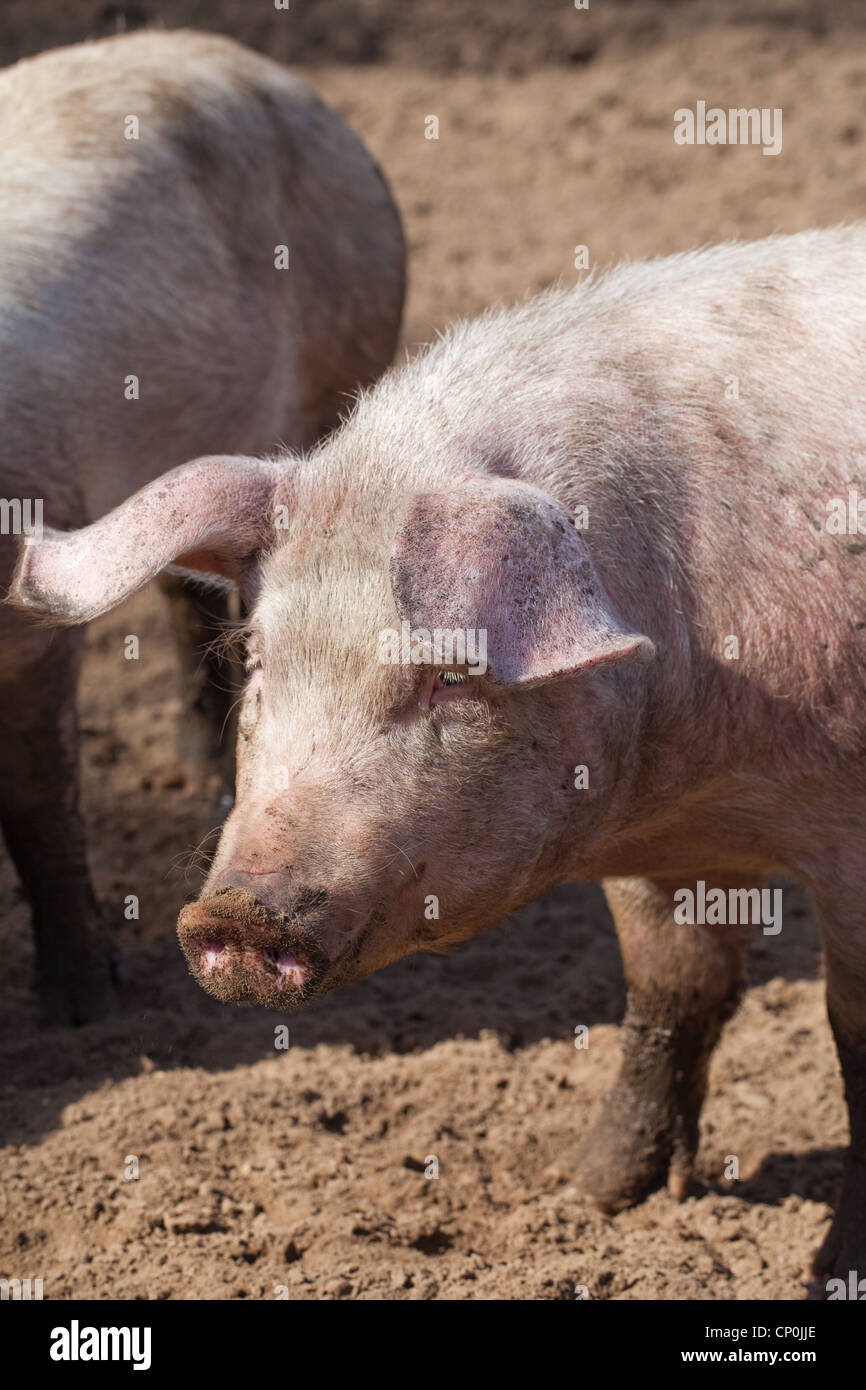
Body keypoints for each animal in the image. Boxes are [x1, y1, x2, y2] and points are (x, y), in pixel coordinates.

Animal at [11, 225, 866, 1278]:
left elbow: (851, 1043)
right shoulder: (667, 851)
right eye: (257, 657)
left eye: (449, 679)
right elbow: (672, 990)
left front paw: (828, 1272)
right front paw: (587, 1194)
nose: (239, 915)